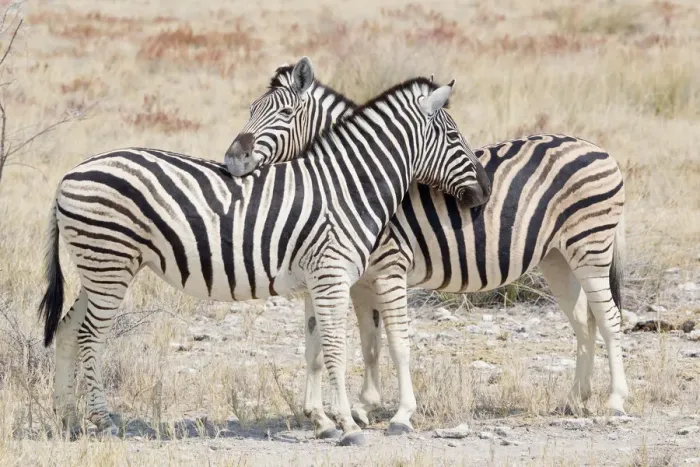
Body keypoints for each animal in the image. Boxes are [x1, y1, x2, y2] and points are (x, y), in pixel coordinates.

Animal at [38, 74, 491, 445]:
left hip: (100, 268)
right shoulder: (333, 275)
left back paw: (67, 419)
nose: (485, 191)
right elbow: (337, 347)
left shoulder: (317, 279)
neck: (347, 187)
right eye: (454, 135)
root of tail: (67, 176)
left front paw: (323, 422)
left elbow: (314, 348)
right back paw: (103, 421)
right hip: (110, 262)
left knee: (67, 328)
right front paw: (348, 425)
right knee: (90, 335)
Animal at [224, 57, 628, 436]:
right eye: (250, 109)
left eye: (285, 114)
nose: (231, 160)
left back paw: (615, 401)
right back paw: (575, 399)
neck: (352, 182)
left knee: (608, 319)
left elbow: (393, 343)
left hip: (589, 245)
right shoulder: (351, 279)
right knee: (583, 321)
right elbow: (351, 345)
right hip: (557, 258)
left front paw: (397, 414)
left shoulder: (387, 267)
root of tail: (598, 148)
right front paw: (353, 408)